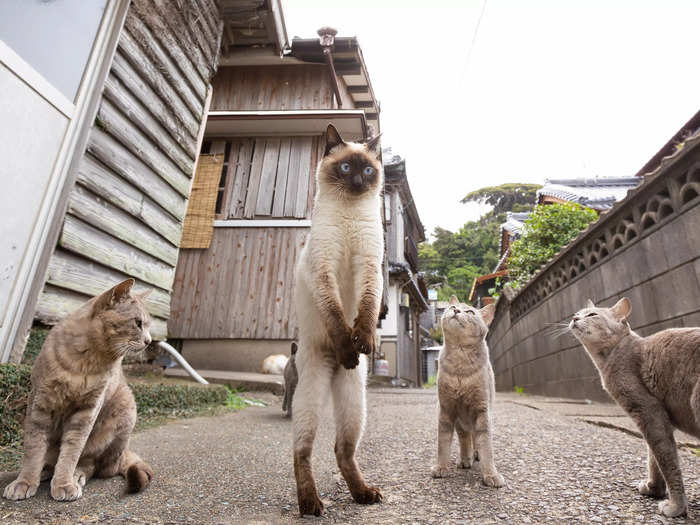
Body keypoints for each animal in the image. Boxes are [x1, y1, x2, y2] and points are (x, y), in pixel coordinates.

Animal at [4, 278, 153, 500]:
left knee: (93, 466)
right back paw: (45, 471)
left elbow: (72, 451)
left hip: (124, 413)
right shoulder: (39, 404)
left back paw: (76, 475)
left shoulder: (87, 411)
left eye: (147, 325)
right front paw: (25, 481)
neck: (86, 363)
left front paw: (64, 483)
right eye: (138, 323)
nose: (149, 341)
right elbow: (34, 448)